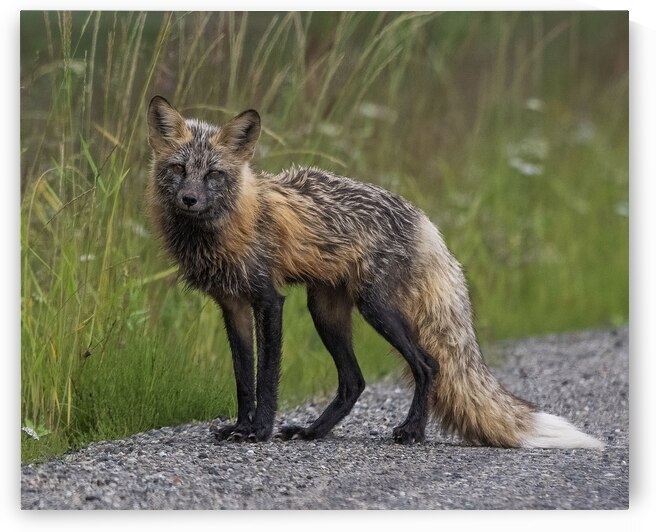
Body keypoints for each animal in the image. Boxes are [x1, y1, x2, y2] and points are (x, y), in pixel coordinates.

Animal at [146, 95, 603, 448]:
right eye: (178, 170)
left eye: (213, 174)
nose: (188, 199)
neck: (227, 227)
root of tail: (426, 222)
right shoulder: (233, 305)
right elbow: (244, 379)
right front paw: (242, 427)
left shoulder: (268, 299)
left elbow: (266, 378)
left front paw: (259, 431)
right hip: (326, 312)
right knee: (354, 382)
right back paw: (313, 432)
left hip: (375, 309)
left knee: (428, 365)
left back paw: (412, 432)